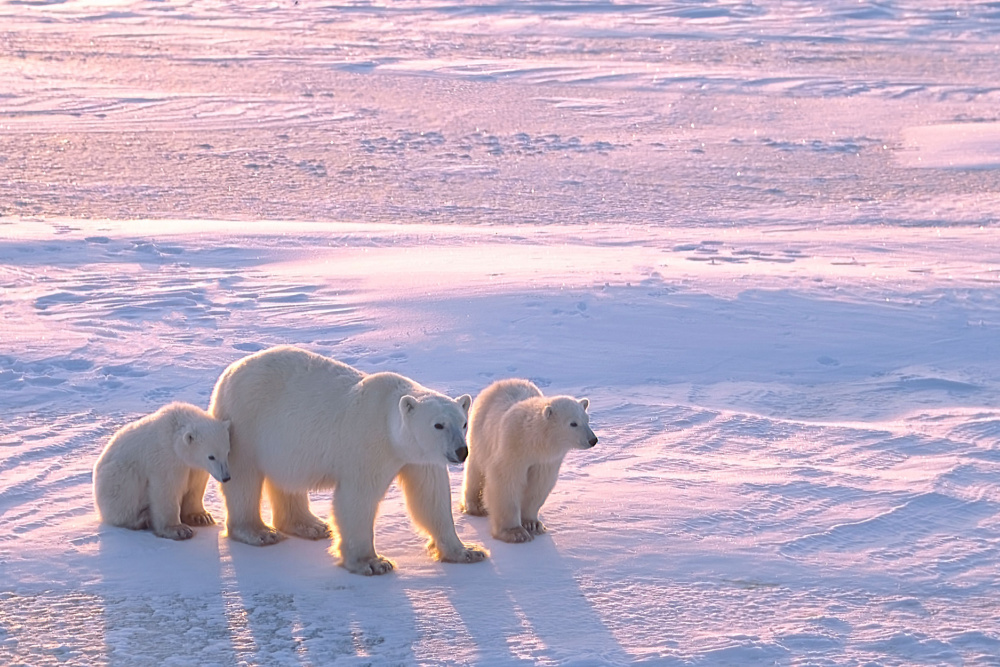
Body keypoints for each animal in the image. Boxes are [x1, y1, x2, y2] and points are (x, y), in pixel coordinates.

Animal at [94, 404, 232, 540]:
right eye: (211, 456)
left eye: (227, 452)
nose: (226, 477)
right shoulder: (165, 458)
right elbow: (166, 489)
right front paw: (179, 529)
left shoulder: (194, 467)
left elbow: (196, 485)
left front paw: (201, 517)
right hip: (116, 477)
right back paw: (142, 519)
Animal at [210, 348, 488, 576]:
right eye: (438, 424)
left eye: (463, 422)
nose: (461, 451)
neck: (389, 422)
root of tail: (229, 372)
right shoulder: (369, 444)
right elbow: (357, 498)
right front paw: (372, 563)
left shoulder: (419, 457)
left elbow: (430, 498)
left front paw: (468, 551)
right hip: (245, 423)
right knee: (244, 478)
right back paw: (259, 532)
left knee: (288, 480)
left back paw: (310, 526)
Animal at [464, 380, 596, 544]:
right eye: (573, 423)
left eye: (587, 420)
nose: (593, 440)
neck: (532, 441)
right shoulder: (512, 448)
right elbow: (505, 482)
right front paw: (515, 533)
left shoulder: (545, 461)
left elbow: (538, 485)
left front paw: (532, 524)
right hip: (480, 432)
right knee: (475, 468)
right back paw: (475, 506)